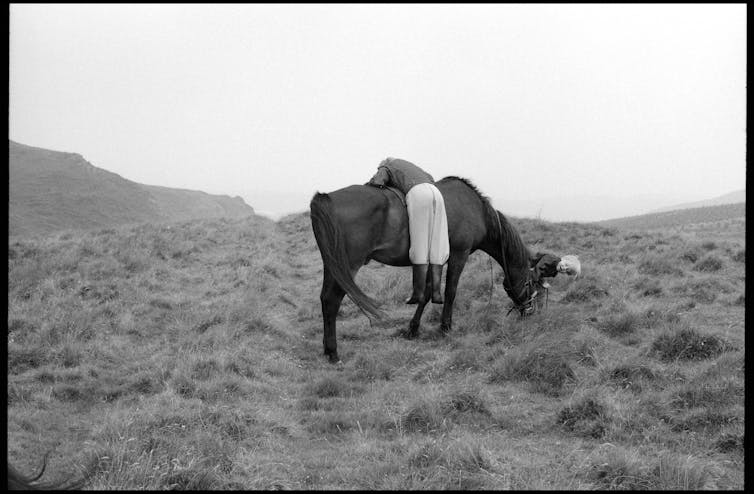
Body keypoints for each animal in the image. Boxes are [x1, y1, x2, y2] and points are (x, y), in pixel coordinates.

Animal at [310, 176, 576, 363]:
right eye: (533, 283)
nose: (530, 313)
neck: (477, 210)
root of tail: (327, 197)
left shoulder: (432, 259)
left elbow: (427, 292)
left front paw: (413, 329)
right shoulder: (459, 254)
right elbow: (450, 292)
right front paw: (445, 327)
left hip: (334, 265)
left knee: (325, 299)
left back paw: (326, 348)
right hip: (349, 265)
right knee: (332, 300)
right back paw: (333, 352)